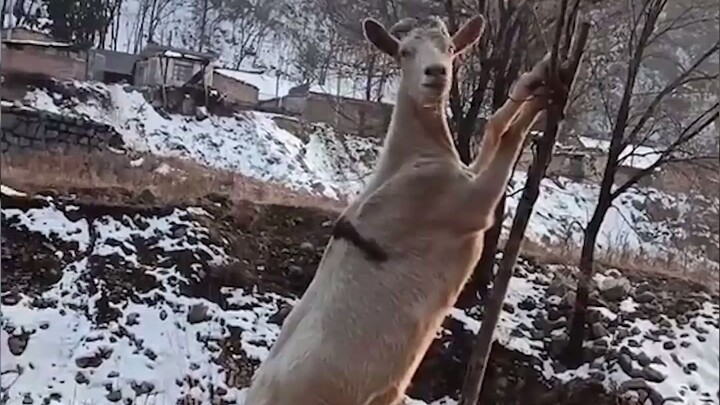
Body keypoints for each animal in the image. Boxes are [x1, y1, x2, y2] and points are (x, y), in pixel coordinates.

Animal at [243, 15, 565, 405]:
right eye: (404, 52)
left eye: (451, 48)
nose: (436, 73)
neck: (410, 157)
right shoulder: (467, 204)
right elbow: (507, 140)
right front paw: (543, 98)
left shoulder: (464, 174)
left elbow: (493, 127)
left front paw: (540, 73)